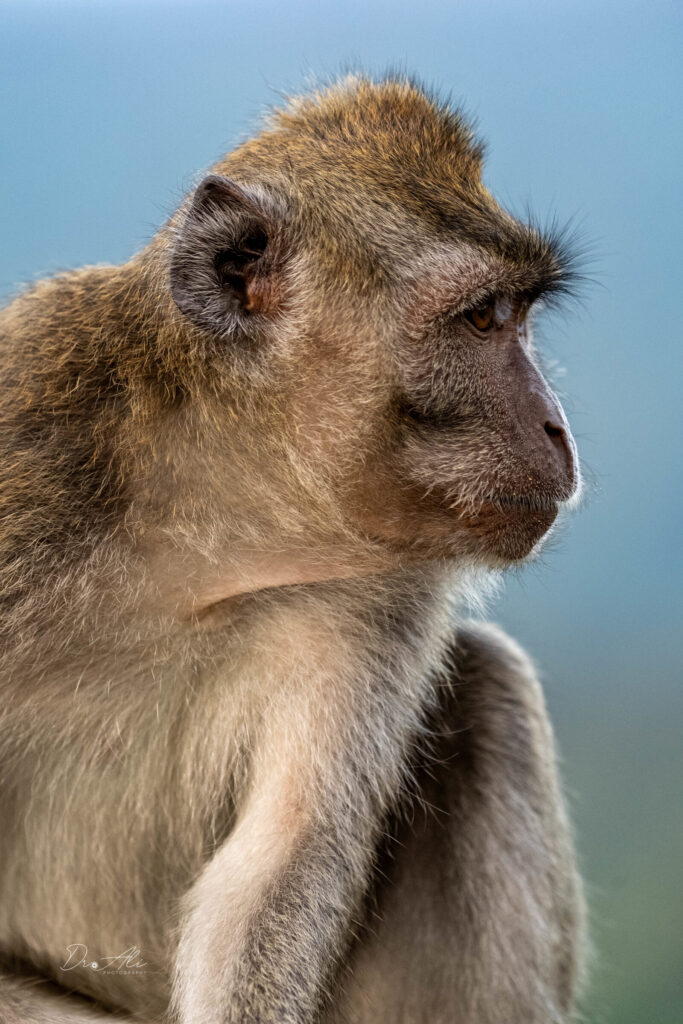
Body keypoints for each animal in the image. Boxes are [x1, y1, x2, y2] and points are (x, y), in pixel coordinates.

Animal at [0, 75, 586, 1024]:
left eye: (518, 318)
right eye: (481, 318)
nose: (556, 429)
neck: (206, 532)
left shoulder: (376, 597)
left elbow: (273, 870)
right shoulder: (26, 452)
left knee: (487, 688)